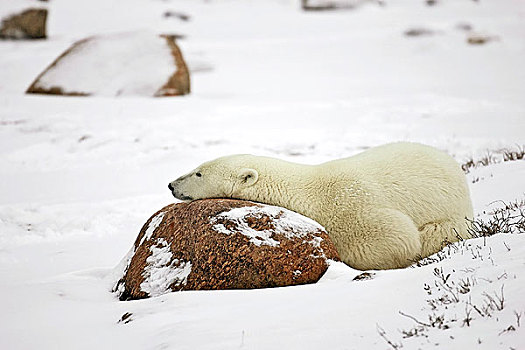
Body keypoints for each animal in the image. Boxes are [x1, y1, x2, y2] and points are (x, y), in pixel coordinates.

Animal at [170, 142, 472, 270]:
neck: (309, 190)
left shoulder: (351, 205)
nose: (171, 184)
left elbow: (397, 236)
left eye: (198, 173)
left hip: (452, 213)